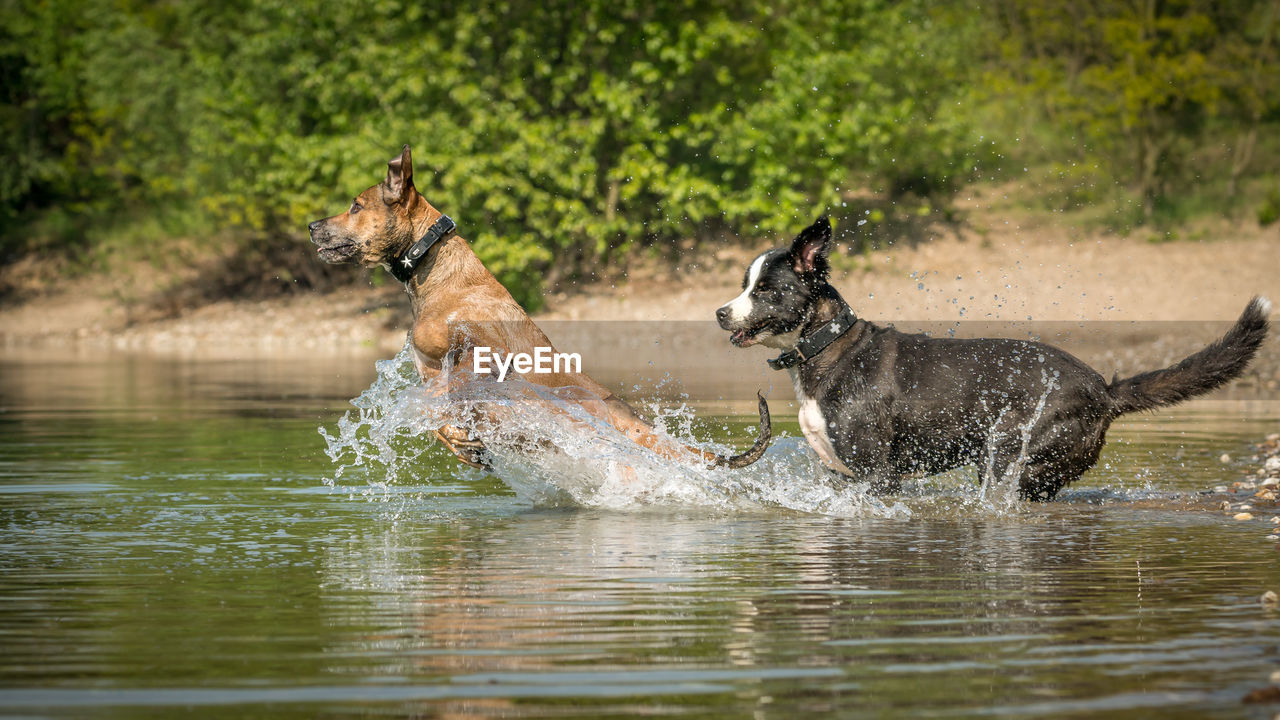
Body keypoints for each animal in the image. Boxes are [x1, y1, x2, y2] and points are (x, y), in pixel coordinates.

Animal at [309, 146, 768, 471]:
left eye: (355, 206)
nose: (312, 226)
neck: (434, 269)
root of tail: (630, 418)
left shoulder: (484, 355)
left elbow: (450, 391)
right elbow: (439, 418)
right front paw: (464, 444)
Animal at [721, 217, 1269, 499]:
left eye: (766, 290)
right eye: (744, 284)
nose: (721, 313)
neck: (829, 351)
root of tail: (1103, 389)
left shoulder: (878, 476)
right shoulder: (840, 476)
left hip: (1011, 460)